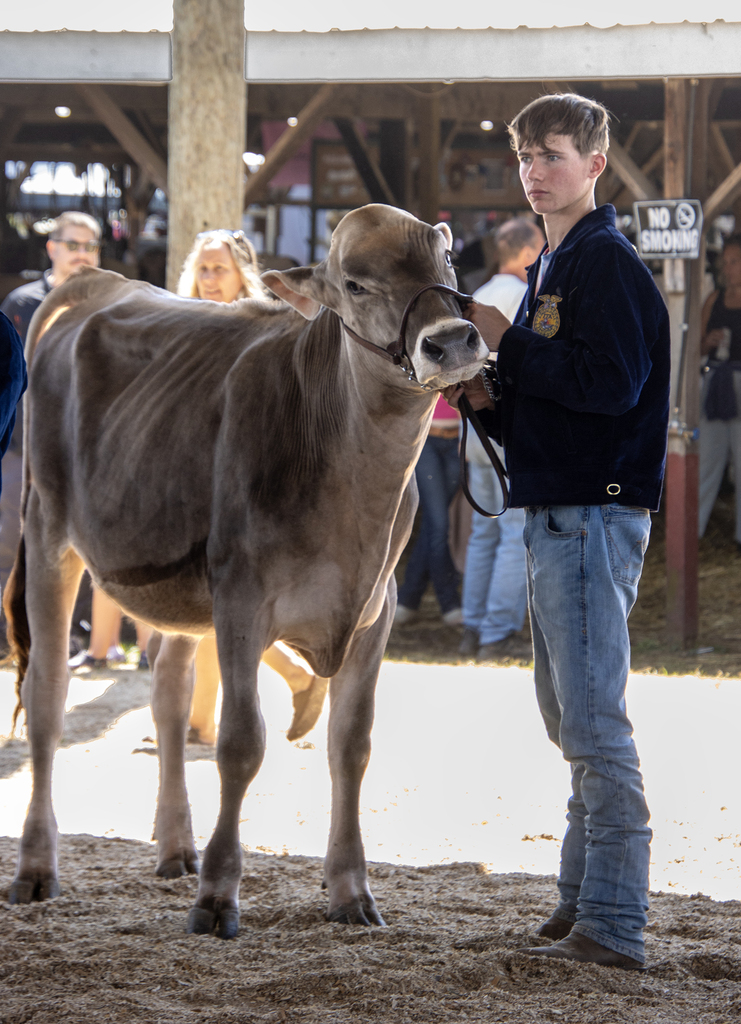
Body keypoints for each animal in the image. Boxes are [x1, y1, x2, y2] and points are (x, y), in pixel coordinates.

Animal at [4, 204, 487, 938]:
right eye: (354, 283)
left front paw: (351, 889)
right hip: (48, 534)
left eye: (447, 262)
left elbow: (351, 746)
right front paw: (217, 896)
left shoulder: (375, 611)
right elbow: (239, 744)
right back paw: (37, 867)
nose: (450, 341)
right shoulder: (241, 601)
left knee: (169, 694)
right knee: (47, 700)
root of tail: (95, 282)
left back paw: (176, 848)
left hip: (174, 585)